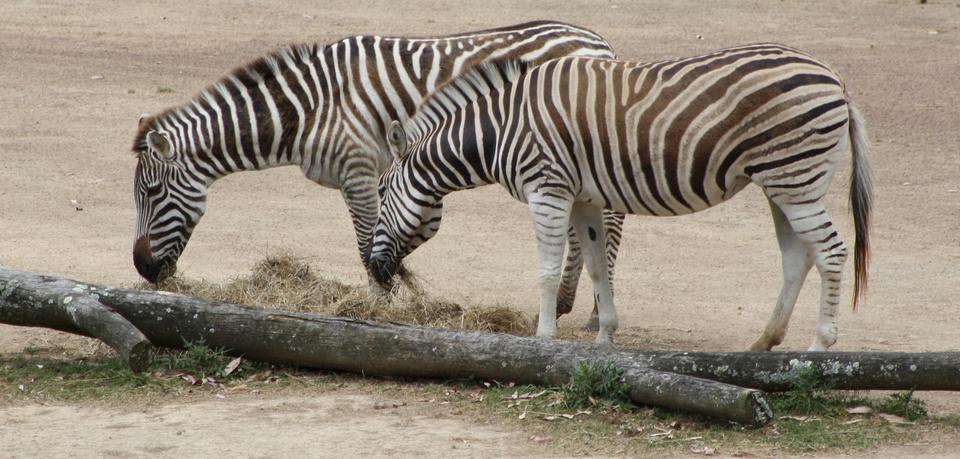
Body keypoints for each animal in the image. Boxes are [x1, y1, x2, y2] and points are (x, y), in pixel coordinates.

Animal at [133, 20, 624, 316]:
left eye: (153, 193)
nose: (143, 269)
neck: (308, 111)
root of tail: (600, 43)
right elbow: (393, 236)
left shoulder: (359, 173)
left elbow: (366, 244)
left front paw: (379, 306)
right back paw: (565, 303)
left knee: (611, 220)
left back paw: (594, 308)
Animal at [372, 45, 872, 350]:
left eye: (379, 192)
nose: (375, 271)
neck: (502, 128)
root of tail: (836, 81)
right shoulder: (584, 199)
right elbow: (596, 266)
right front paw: (605, 338)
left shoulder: (547, 190)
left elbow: (547, 270)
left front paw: (544, 339)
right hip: (781, 184)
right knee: (797, 258)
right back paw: (763, 343)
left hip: (796, 179)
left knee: (831, 252)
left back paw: (819, 346)